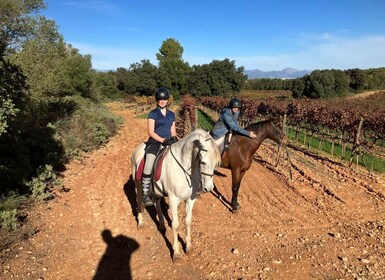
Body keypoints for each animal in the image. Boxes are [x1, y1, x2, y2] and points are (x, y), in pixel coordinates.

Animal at [130, 129, 219, 260]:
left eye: (216, 163)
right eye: (203, 162)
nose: (209, 188)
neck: (184, 168)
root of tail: (138, 148)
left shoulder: (190, 199)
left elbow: (188, 221)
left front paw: (188, 247)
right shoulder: (173, 199)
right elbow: (175, 225)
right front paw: (176, 253)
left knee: (157, 202)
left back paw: (162, 226)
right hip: (138, 185)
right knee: (139, 200)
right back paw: (140, 222)